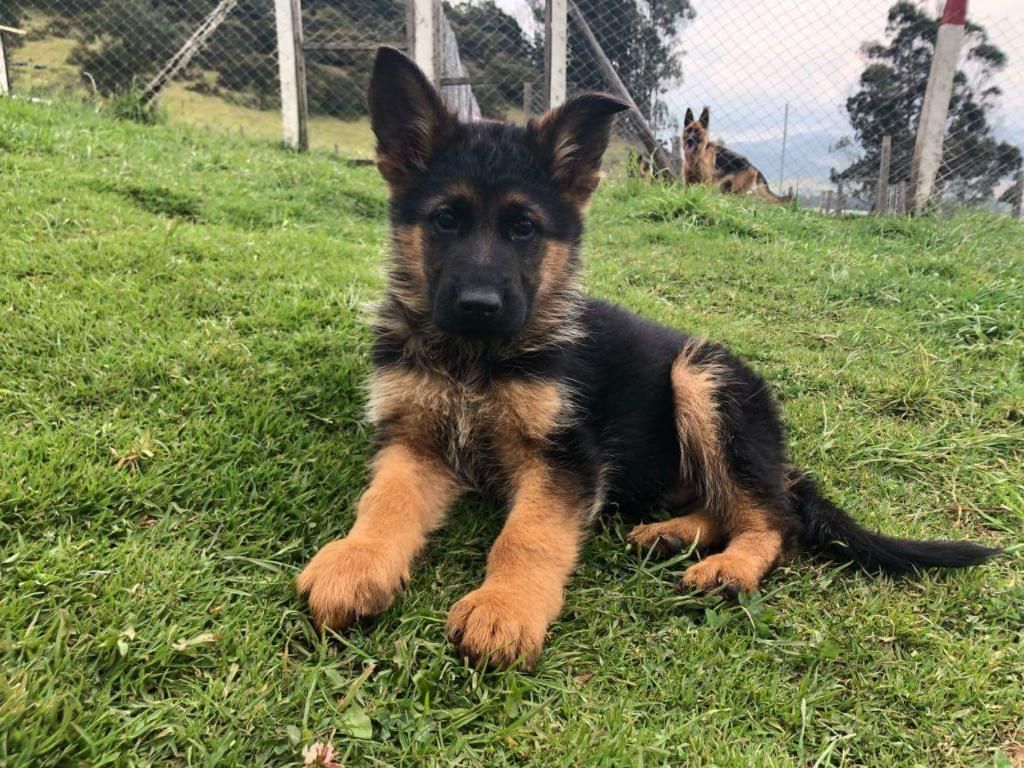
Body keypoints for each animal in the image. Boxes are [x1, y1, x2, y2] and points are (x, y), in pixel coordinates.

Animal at [292, 49, 995, 671]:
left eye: (524, 228)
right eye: (444, 220)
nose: (479, 305)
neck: (476, 359)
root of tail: (781, 454)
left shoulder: (567, 459)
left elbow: (527, 536)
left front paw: (505, 607)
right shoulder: (414, 441)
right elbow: (384, 502)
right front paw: (356, 561)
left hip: (701, 378)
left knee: (777, 521)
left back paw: (729, 567)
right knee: (725, 504)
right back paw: (671, 534)